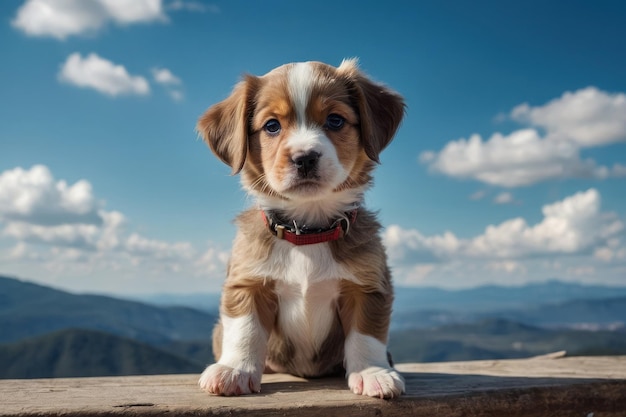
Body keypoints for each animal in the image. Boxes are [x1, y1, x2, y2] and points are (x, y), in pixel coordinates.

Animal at [197, 57, 408, 396]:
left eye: (335, 120)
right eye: (272, 125)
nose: (305, 158)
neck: (308, 232)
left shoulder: (368, 287)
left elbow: (366, 335)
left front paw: (373, 372)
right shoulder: (247, 283)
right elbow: (244, 330)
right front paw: (234, 369)